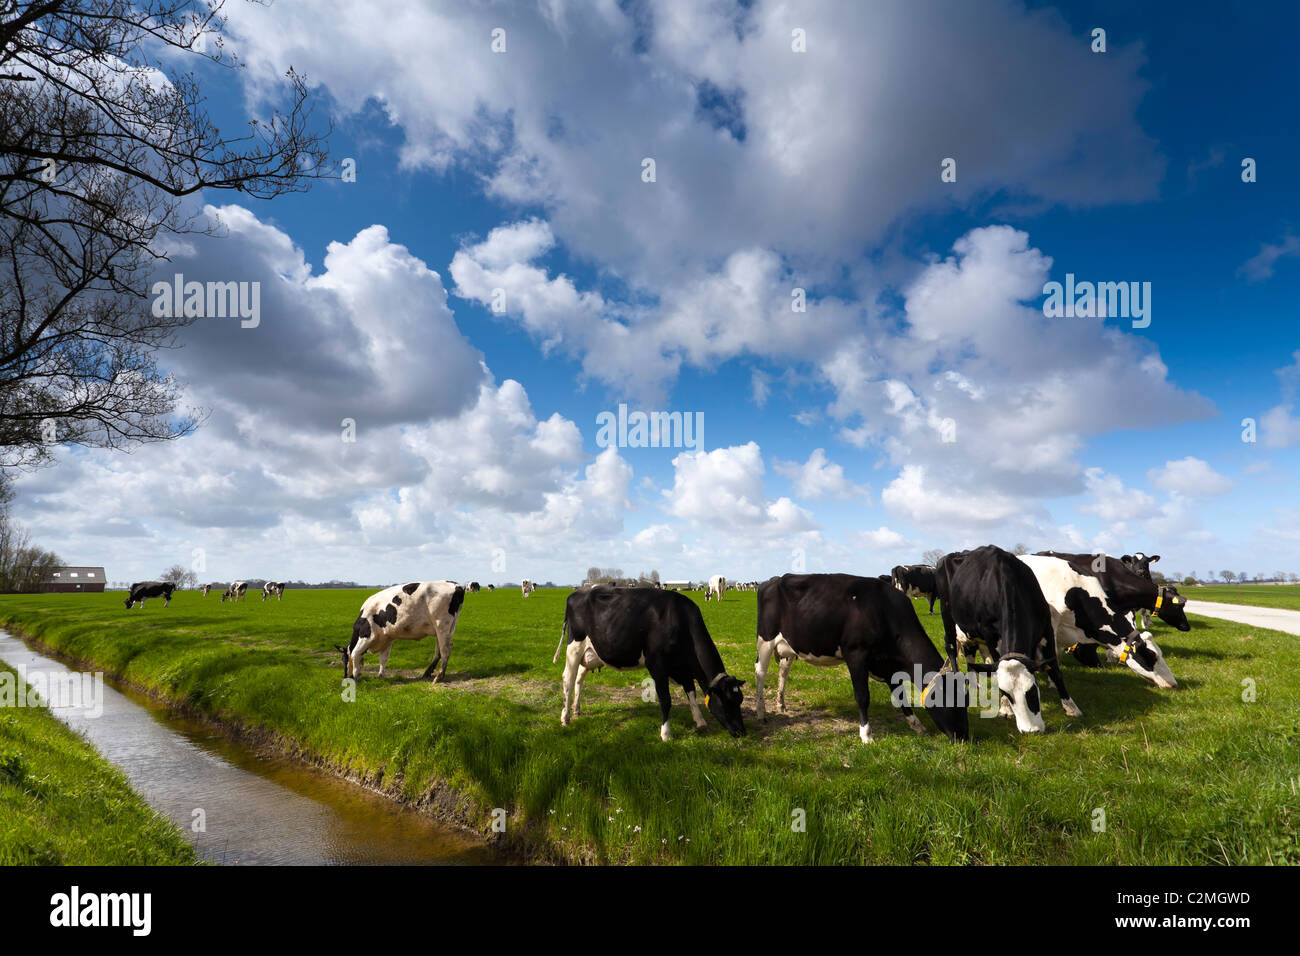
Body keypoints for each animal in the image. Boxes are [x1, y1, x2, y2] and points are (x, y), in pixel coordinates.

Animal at [335, 582, 467, 681]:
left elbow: (355, 653)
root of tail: (456, 585)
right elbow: (383, 659)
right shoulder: (387, 639)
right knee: (438, 651)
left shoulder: (366, 635)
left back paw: (438, 677)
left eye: (343, 659)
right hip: (445, 628)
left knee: (445, 650)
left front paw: (357, 676)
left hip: (441, 625)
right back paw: (427, 673)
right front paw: (380, 676)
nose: (345, 676)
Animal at [553, 587, 748, 743]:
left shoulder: (683, 667)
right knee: (568, 679)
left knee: (579, 679)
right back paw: (565, 717)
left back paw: (577, 710)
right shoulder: (657, 665)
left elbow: (691, 692)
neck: (680, 620)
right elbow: (666, 700)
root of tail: (577, 592)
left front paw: (700, 721)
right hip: (574, 647)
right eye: (727, 702)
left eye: (740, 700)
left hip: (589, 653)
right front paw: (666, 734)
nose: (742, 732)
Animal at [754, 572, 967, 743]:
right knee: (760, 673)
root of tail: (772, 580)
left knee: (783, 671)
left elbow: (900, 696)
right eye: (952, 700)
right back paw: (760, 712)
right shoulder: (856, 653)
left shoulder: (887, 664)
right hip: (765, 639)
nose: (964, 737)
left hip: (789, 645)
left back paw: (781, 704)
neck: (883, 610)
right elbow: (862, 696)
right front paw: (866, 735)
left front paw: (916, 725)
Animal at [930, 546, 1081, 733]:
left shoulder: (1046, 629)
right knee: (950, 646)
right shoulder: (991, 637)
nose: (1031, 731)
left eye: (1032, 690)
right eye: (1006, 693)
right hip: (946, 612)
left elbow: (1054, 668)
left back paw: (974, 683)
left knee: (970, 652)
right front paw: (1004, 708)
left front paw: (1071, 707)